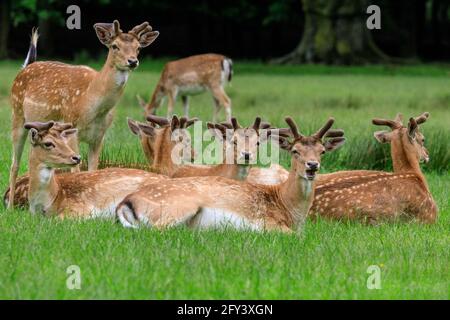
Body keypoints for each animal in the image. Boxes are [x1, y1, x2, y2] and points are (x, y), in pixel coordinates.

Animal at [7, 21, 160, 209]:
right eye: (114, 46)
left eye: (138, 48)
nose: (132, 61)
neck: (92, 102)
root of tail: (26, 67)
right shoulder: (72, 127)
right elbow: (76, 169)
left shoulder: (99, 136)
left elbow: (93, 170)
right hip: (17, 115)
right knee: (14, 164)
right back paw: (9, 207)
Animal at [115, 116, 344, 231]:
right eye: (295, 151)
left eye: (322, 151)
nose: (312, 165)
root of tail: (124, 203)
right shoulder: (267, 222)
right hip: (177, 206)